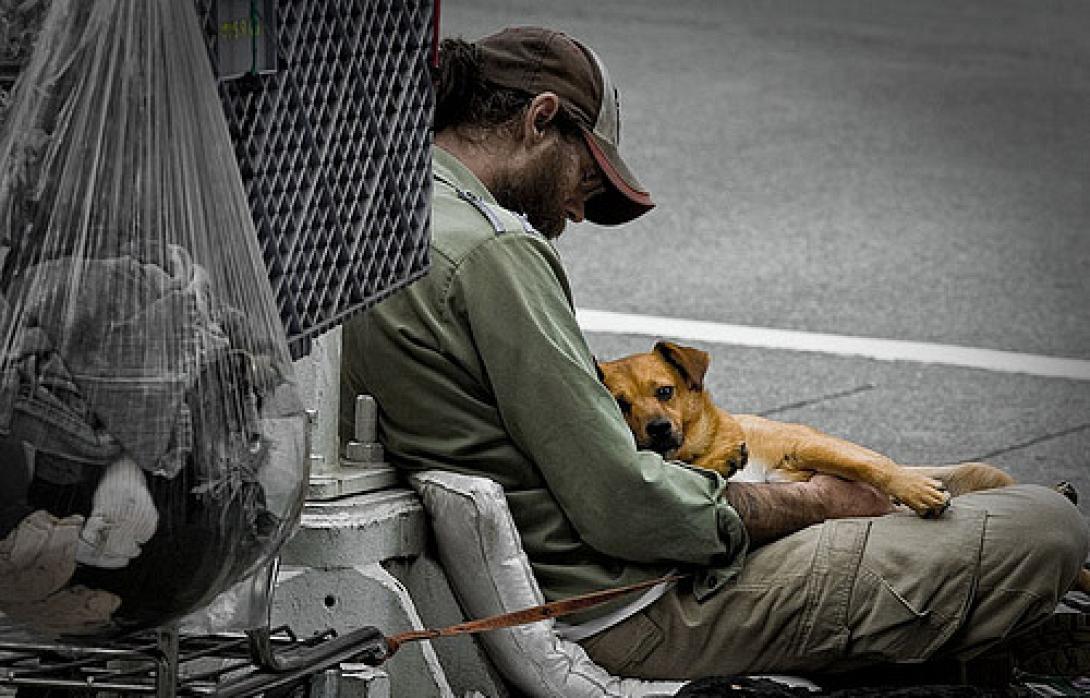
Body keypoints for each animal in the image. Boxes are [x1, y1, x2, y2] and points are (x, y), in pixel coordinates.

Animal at [597, 340, 1090, 593]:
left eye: (664, 391)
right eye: (620, 404)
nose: (659, 429)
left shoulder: (805, 446)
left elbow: (872, 465)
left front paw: (914, 490)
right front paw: (722, 459)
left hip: (981, 473)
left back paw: (1060, 493)